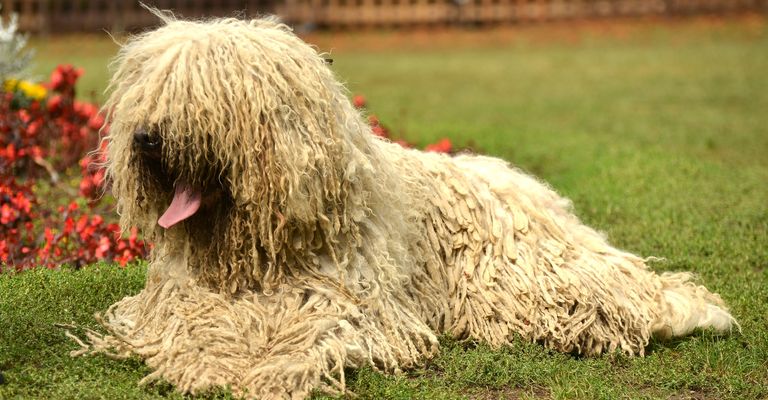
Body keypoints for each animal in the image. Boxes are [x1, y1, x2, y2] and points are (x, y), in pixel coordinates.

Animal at [76, 10, 732, 400]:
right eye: (149, 91)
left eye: (205, 92)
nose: (145, 137)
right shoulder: (185, 297)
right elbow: (190, 327)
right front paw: (207, 361)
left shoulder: (349, 304)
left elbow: (312, 335)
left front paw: (269, 369)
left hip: (525, 281)